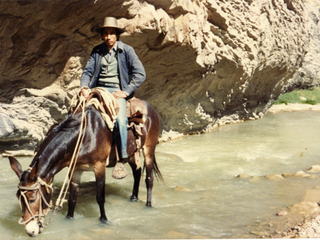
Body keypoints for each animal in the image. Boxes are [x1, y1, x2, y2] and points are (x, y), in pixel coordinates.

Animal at [7, 98, 162, 237]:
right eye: (18, 197)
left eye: (32, 199)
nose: (30, 231)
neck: (83, 135)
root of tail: (150, 108)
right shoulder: (76, 170)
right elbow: (72, 198)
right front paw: (69, 219)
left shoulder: (99, 167)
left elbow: (100, 197)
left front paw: (104, 220)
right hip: (132, 154)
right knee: (137, 172)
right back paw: (134, 197)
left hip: (149, 148)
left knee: (149, 178)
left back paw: (148, 205)